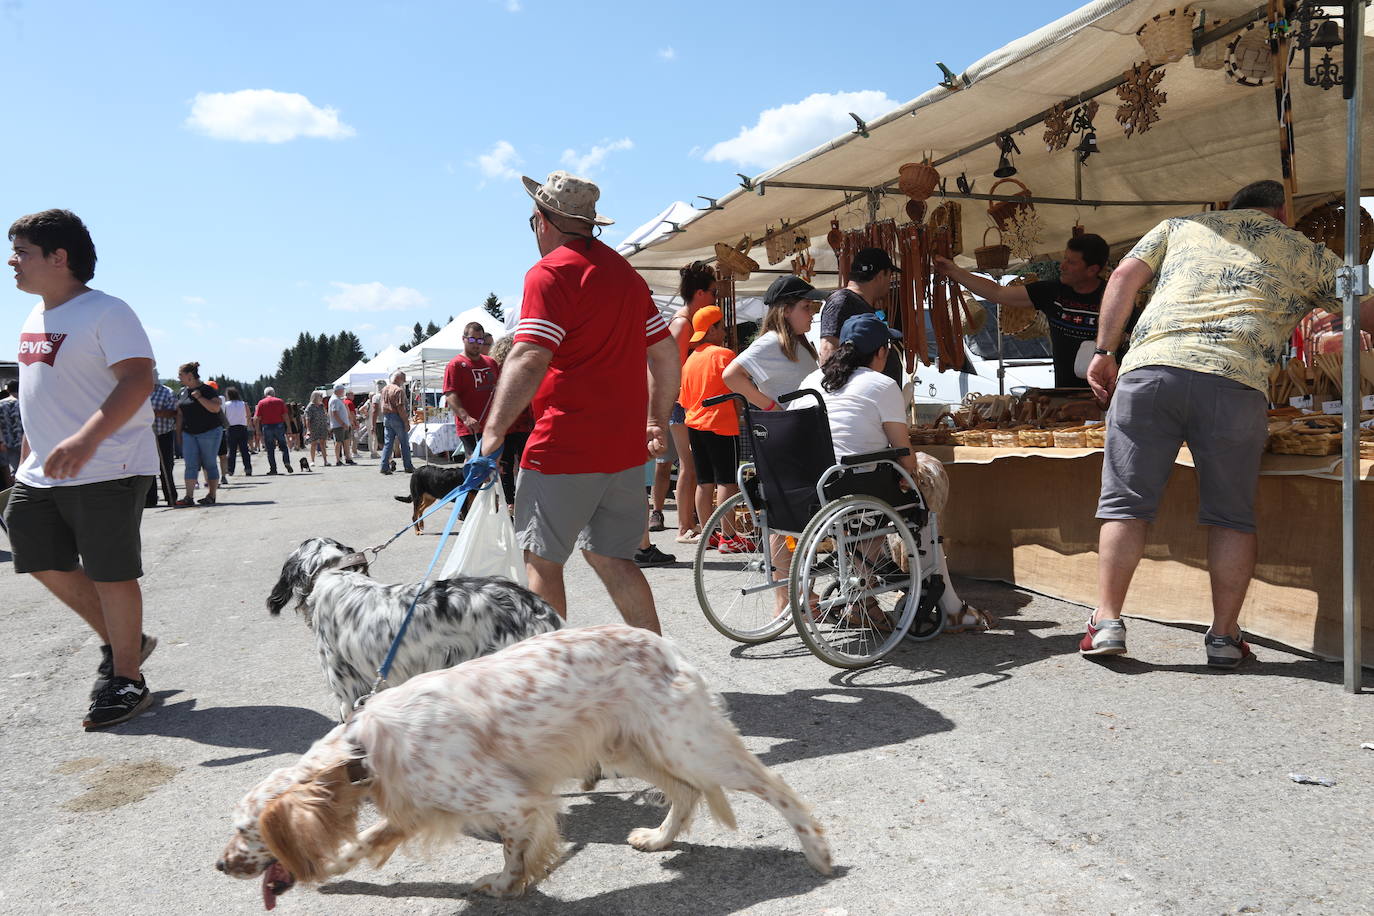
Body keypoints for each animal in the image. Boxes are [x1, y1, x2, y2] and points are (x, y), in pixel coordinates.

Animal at [219, 623, 829, 900]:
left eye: (248, 831)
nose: (220, 866)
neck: (363, 747)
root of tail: (667, 645)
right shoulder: (417, 808)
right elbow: (360, 845)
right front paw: (331, 875)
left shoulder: (513, 803)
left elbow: (515, 854)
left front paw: (503, 886)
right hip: (629, 748)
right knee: (685, 794)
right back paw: (658, 839)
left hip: (690, 746)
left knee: (774, 784)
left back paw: (818, 853)